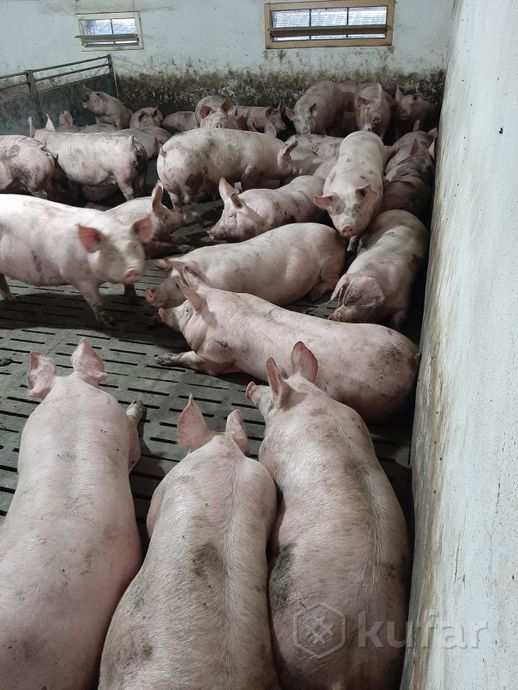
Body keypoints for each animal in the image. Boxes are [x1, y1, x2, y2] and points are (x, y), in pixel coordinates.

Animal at [0, 194, 153, 327]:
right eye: (110, 252)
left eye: (134, 246)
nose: (132, 270)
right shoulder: (79, 278)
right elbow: (97, 302)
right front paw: (111, 323)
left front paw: (133, 298)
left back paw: (13, 300)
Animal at [147, 221, 344, 308]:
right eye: (167, 277)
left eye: (178, 284)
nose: (150, 292)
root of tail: (333, 232)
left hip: (330, 262)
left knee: (332, 281)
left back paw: (313, 295)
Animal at [156, 268, 419, 422]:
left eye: (186, 309)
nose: (161, 311)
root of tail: (412, 356)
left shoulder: (215, 358)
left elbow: (192, 359)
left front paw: (162, 359)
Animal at [157, 128, 299, 207]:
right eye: (287, 157)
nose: (298, 170)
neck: (269, 157)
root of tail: (165, 152)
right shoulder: (251, 168)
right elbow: (247, 182)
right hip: (189, 176)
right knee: (187, 199)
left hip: (168, 185)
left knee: (176, 202)